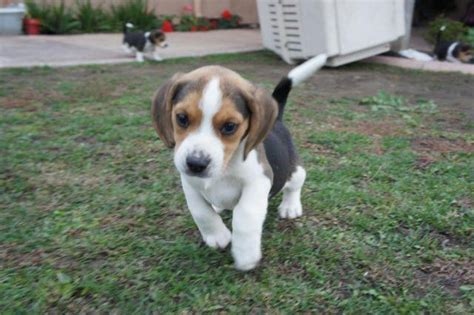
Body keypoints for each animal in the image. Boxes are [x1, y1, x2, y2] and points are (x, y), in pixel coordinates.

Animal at [151, 54, 326, 272]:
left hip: (294, 172)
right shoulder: (189, 183)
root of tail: (277, 120)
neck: (225, 169)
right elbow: (200, 212)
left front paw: (246, 254)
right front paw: (217, 235)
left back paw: (290, 206)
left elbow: (245, 215)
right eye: (181, 118)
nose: (196, 163)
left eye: (229, 126)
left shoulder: (260, 180)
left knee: (294, 186)